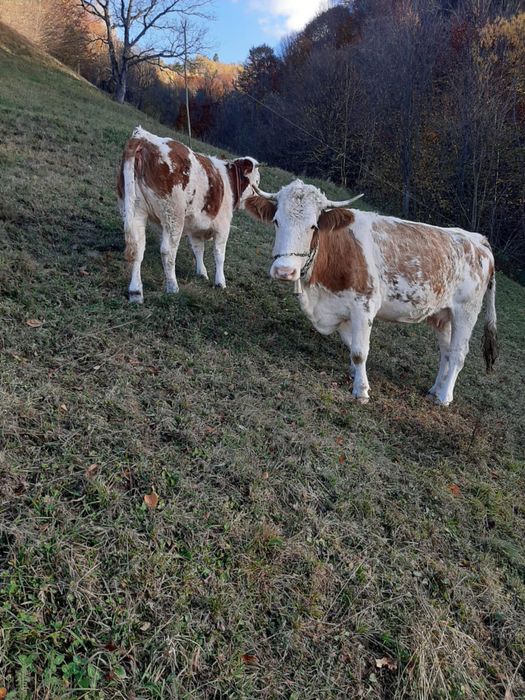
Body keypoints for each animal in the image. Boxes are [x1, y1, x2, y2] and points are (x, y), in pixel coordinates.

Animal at [117, 126, 260, 302]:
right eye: (256, 181)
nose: (256, 197)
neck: (227, 181)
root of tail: (143, 138)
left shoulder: (196, 228)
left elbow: (198, 249)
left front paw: (202, 273)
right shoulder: (223, 227)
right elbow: (219, 254)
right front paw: (220, 282)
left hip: (135, 211)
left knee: (137, 249)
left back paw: (136, 292)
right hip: (173, 216)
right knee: (168, 251)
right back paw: (173, 287)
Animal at [245, 180, 498, 406]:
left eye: (313, 226)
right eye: (276, 221)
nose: (284, 271)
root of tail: (477, 239)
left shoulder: (364, 305)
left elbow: (359, 351)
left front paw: (362, 390)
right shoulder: (341, 306)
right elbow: (350, 344)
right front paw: (353, 373)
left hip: (466, 311)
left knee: (457, 354)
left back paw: (445, 397)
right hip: (441, 315)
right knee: (445, 352)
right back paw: (435, 390)